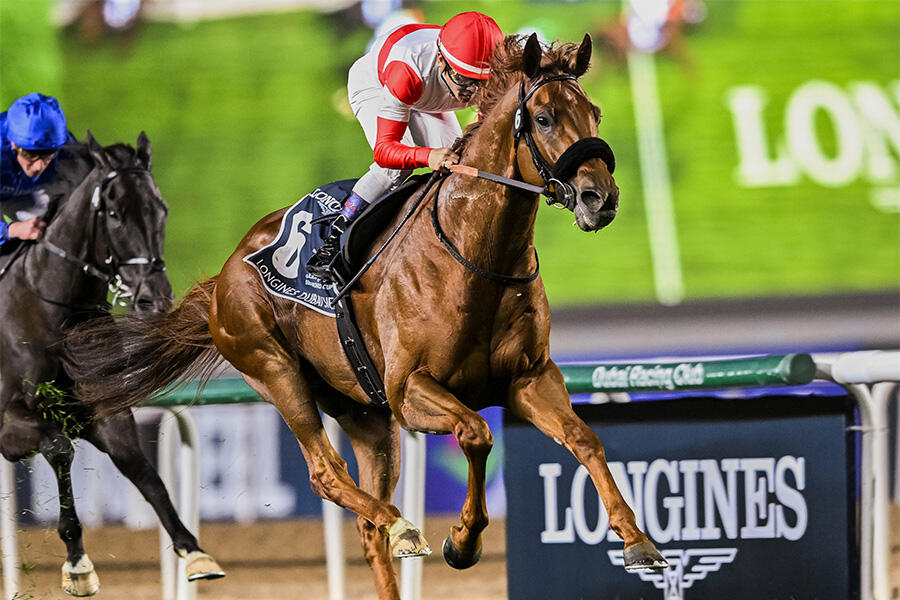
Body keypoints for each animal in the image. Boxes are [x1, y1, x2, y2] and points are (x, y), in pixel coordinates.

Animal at [0, 132, 224, 596]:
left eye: (161, 208)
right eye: (116, 213)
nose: (153, 297)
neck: (50, 313)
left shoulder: (106, 411)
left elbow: (145, 472)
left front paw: (193, 550)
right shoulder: (8, 425)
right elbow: (59, 448)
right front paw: (77, 563)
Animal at [64, 34, 667, 598]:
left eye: (594, 114)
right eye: (543, 118)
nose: (600, 198)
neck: (477, 257)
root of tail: (225, 274)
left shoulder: (529, 378)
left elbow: (584, 438)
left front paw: (636, 538)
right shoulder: (409, 390)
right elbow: (475, 433)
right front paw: (463, 539)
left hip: (364, 413)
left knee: (365, 525)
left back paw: (392, 528)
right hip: (277, 372)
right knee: (326, 475)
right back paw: (402, 525)